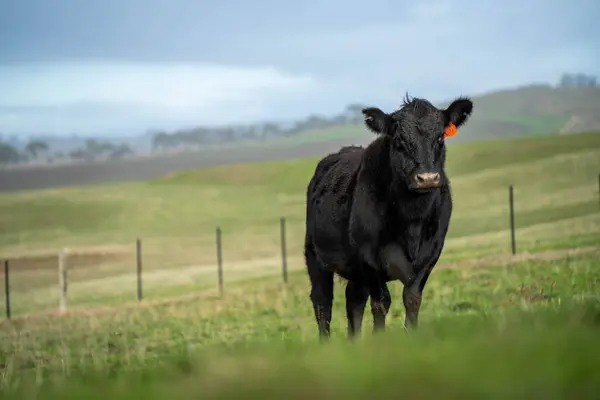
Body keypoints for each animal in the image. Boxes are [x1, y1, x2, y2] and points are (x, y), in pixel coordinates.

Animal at [304, 94, 474, 340]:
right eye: (399, 140)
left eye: (441, 137)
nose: (427, 178)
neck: (412, 220)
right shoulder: (370, 258)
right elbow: (381, 303)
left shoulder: (431, 254)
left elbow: (412, 299)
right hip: (315, 255)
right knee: (322, 303)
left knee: (353, 301)